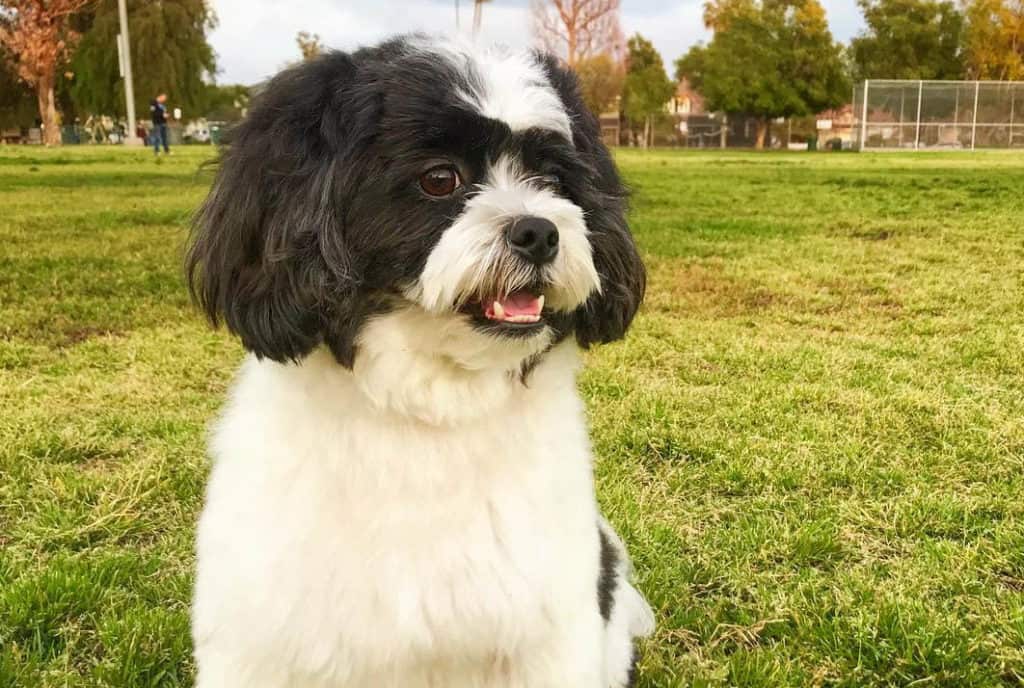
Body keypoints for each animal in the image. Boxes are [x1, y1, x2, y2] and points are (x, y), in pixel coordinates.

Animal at [187, 36, 651, 688]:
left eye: (552, 179)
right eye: (439, 179)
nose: (538, 230)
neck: (429, 404)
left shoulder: (545, 634)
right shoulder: (259, 640)